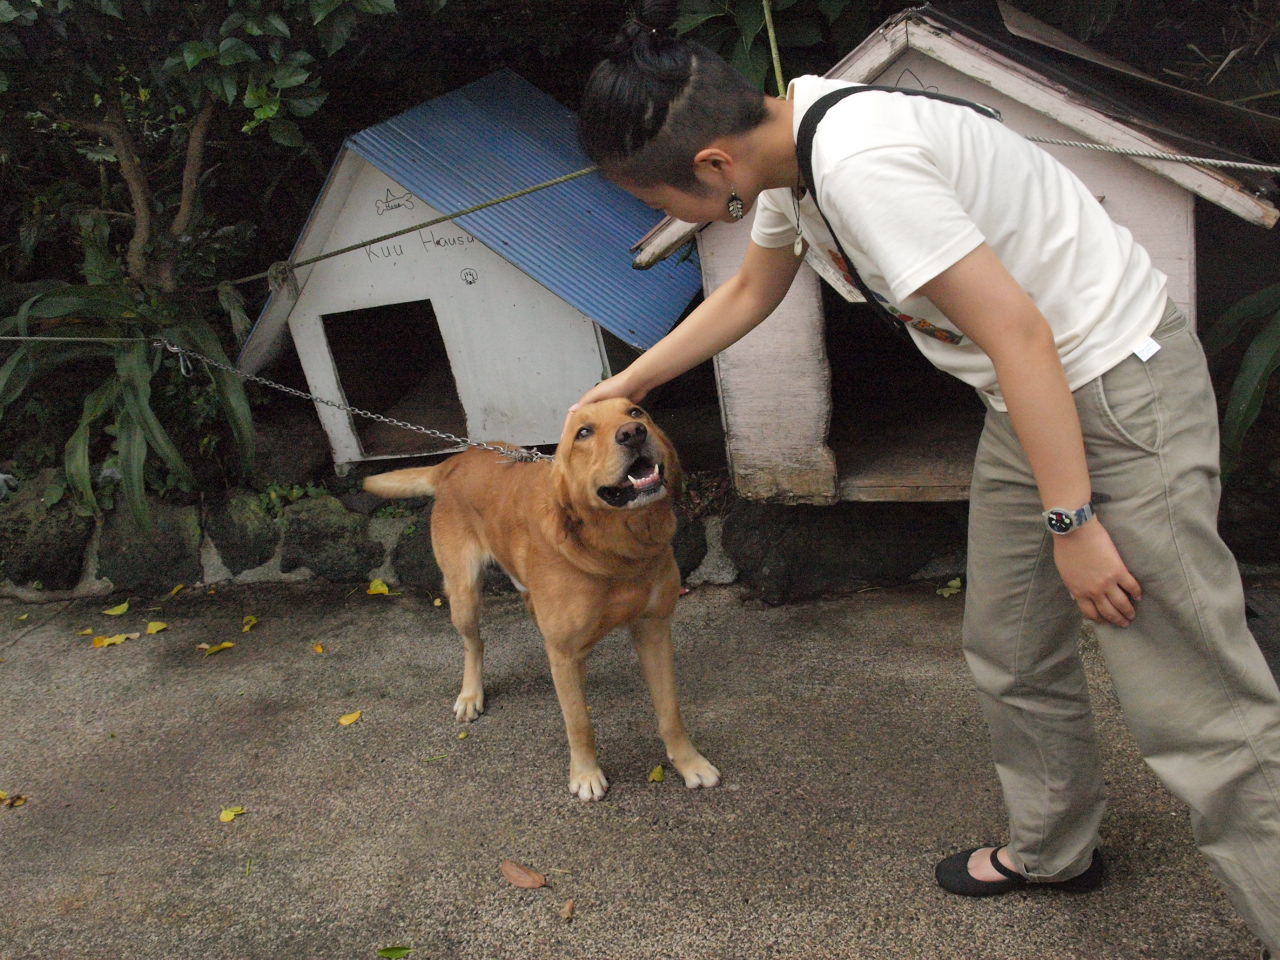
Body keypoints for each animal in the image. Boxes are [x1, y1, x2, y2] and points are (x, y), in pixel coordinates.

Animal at [363, 399, 721, 803]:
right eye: (583, 432)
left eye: (635, 412)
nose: (633, 434)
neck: (617, 553)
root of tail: (458, 459)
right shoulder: (564, 650)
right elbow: (579, 723)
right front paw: (585, 774)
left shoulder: (654, 630)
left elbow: (670, 711)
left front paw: (689, 763)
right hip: (464, 597)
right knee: (475, 642)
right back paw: (471, 694)